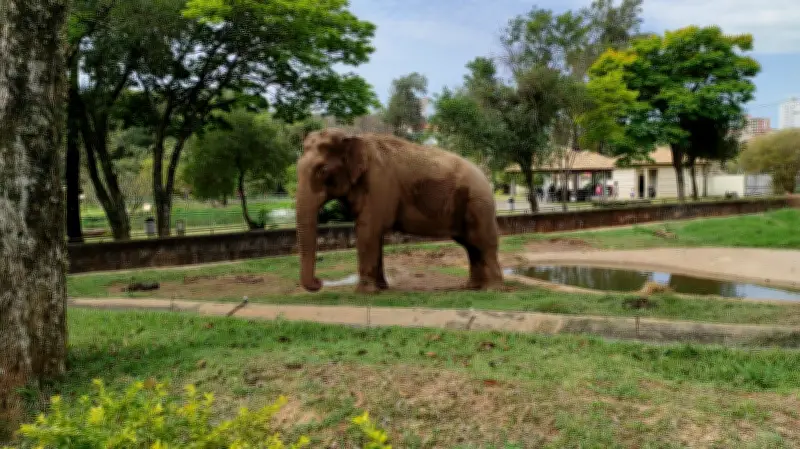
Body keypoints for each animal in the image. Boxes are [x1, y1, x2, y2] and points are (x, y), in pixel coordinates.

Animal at [296, 128, 503, 293]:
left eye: (322, 170)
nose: (319, 282)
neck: (353, 136)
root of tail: (485, 176)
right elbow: (374, 234)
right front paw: (381, 289)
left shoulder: (379, 183)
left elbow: (367, 230)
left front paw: (364, 293)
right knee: (470, 244)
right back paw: (472, 287)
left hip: (478, 203)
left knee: (482, 242)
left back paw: (492, 289)